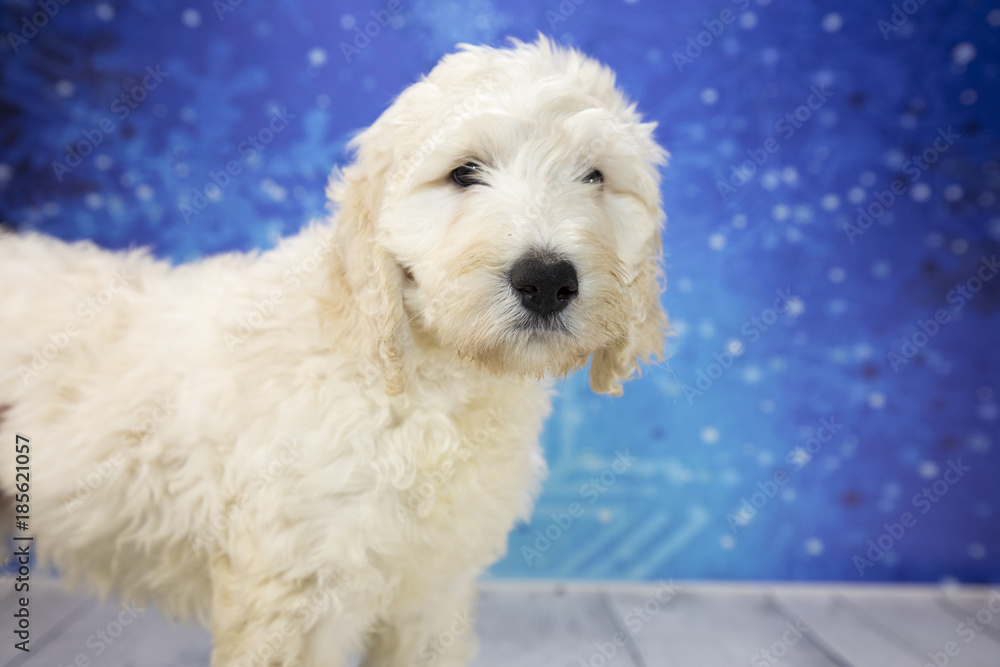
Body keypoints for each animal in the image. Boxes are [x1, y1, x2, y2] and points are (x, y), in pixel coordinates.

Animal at [1, 37, 672, 667]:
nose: (546, 280)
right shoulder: (291, 595)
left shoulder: (431, 594)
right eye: (464, 172)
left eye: (594, 176)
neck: (421, 384)